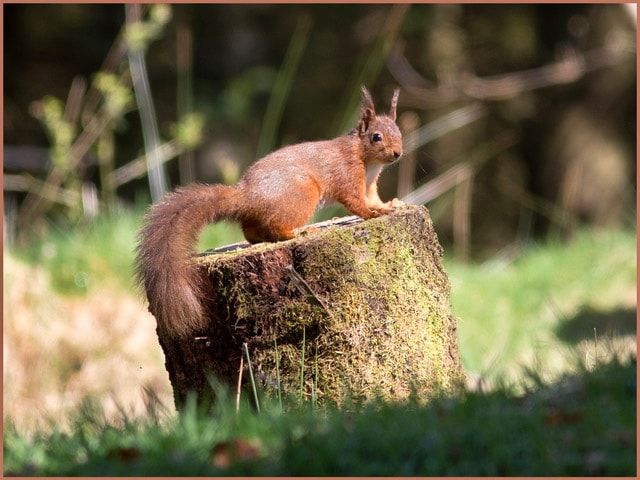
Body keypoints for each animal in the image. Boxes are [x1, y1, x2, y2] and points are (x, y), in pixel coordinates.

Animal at [137, 86, 404, 338]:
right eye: (376, 137)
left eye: (399, 132)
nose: (398, 153)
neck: (364, 156)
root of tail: (249, 197)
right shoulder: (347, 174)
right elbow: (355, 202)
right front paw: (371, 215)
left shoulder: (369, 185)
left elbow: (373, 199)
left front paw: (389, 206)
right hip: (303, 194)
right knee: (277, 227)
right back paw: (300, 232)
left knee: (251, 232)